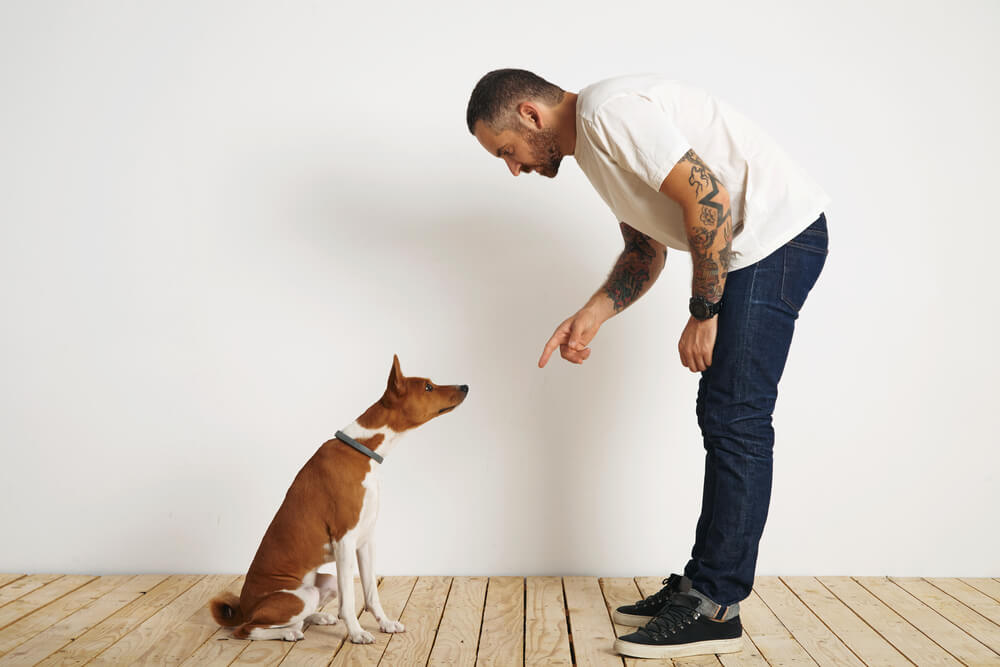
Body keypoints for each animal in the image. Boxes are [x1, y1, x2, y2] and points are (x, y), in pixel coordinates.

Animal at [208, 354, 472, 640]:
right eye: (428, 387)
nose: (465, 386)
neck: (363, 449)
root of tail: (244, 608)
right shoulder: (344, 540)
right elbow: (349, 601)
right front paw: (356, 633)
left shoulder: (366, 539)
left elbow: (371, 592)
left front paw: (385, 623)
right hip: (299, 597)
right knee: (247, 629)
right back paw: (288, 633)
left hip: (324, 584)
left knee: (298, 617)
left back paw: (317, 618)